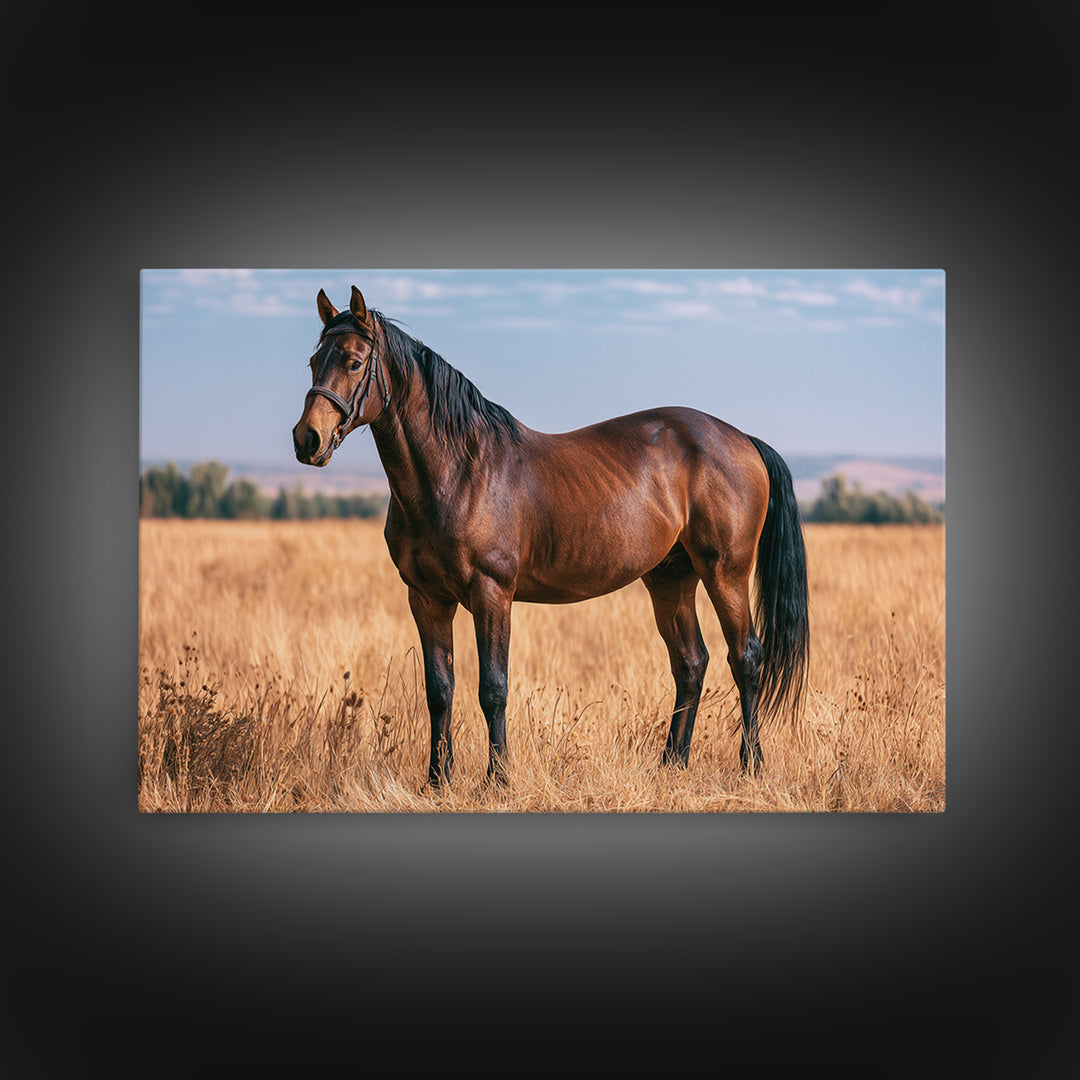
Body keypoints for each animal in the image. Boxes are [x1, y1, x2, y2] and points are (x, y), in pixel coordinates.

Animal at [293, 286, 809, 788]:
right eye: (314, 362)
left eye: (354, 361)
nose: (306, 440)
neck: (458, 471)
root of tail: (742, 439)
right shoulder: (426, 598)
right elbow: (439, 690)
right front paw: (437, 781)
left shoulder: (492, 594)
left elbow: (493, 688)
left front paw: (498, 780)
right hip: (670, 579)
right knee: (691, 663)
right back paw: (672, 764)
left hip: (726, 574)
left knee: (746, 659)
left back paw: (750, 766)